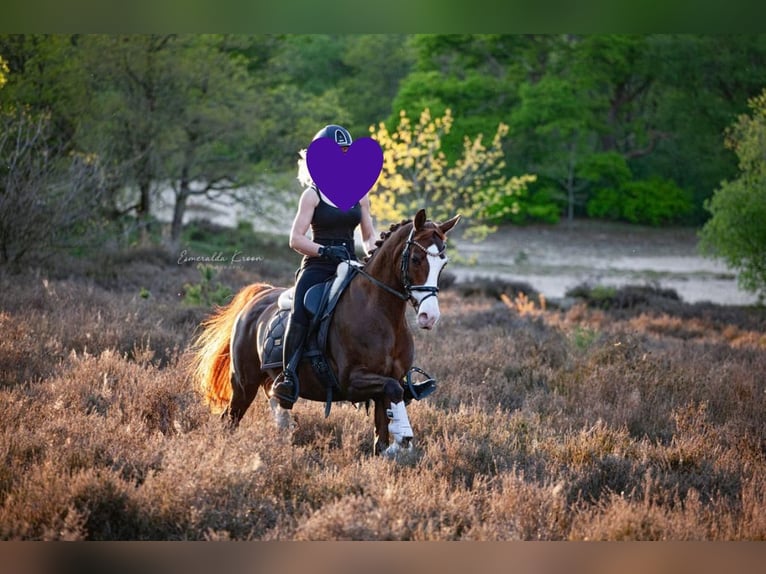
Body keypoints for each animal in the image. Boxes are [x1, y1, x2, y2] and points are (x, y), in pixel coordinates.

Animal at [189, 208, 460, 455]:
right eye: (415, 258)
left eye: (443, 263)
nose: (429, 316)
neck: (382, 315)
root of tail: (259, 295)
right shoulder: (351, 380)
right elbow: (394, 389)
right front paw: (403, 435)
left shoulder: (384, 385)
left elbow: (381, 436)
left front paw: (392, 447)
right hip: (244, 383)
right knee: (230, 419)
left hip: (267, 383)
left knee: (276, 409)